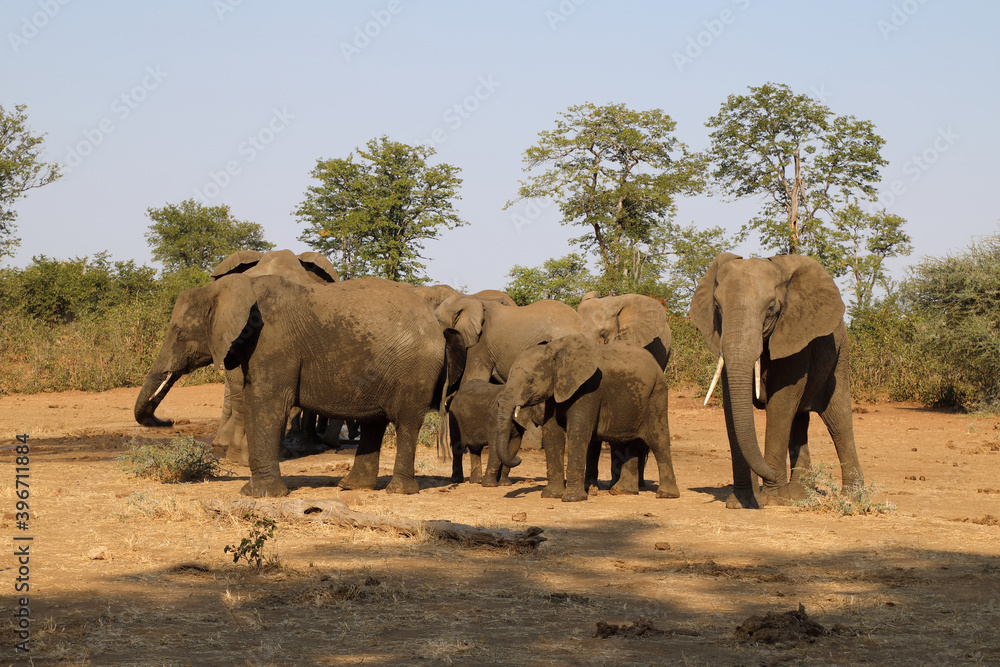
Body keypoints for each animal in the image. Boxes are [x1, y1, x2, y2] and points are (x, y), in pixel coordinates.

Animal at [134, 273, 462, 497]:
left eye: (179, 332)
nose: (169, 420)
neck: (232, 288)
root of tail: (436, 323)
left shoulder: (273, 341)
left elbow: (268, 404)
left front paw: (260, 496)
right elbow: (256, 401)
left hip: (414, 368)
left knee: (405, 423)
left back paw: (398, 491)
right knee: (375, 423)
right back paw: (351, 487)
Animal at [491, 335, 680, 502]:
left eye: (530, 381)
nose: (519, 459)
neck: (556, 351)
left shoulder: (589, 389)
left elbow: (578, 432)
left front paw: (572, 499)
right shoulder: (555, 391)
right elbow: (552, 433)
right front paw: (551, 495)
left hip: (657, 394)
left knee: (658, 439)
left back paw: (666, 495)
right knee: (629, 442)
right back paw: (622, 492)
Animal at [688, 253, 864, 509]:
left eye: (772, 308)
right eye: (718, 307)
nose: (768, 476)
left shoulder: (795, 336)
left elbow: (780, 404)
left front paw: (772, 500)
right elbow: (732, 406)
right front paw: (741, 502)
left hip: (840, 357)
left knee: (838, 421)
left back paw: (852, 499)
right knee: (799, 422)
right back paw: (800, 496)